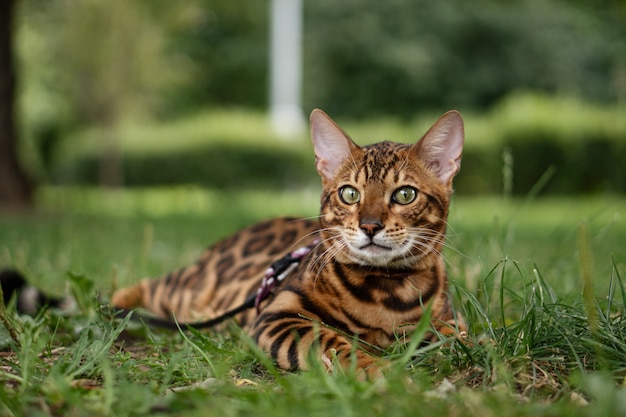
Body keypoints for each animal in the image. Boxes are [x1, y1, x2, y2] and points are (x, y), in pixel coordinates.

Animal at [111, 109, 464, 378]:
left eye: (405, 195)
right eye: (349, 194)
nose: (370, 226)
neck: (386, 290)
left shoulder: (450, 319)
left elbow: (459, 336)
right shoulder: (277, 317)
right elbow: (333, 343)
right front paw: (377, 370)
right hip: (188, 290)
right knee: (147, 284)